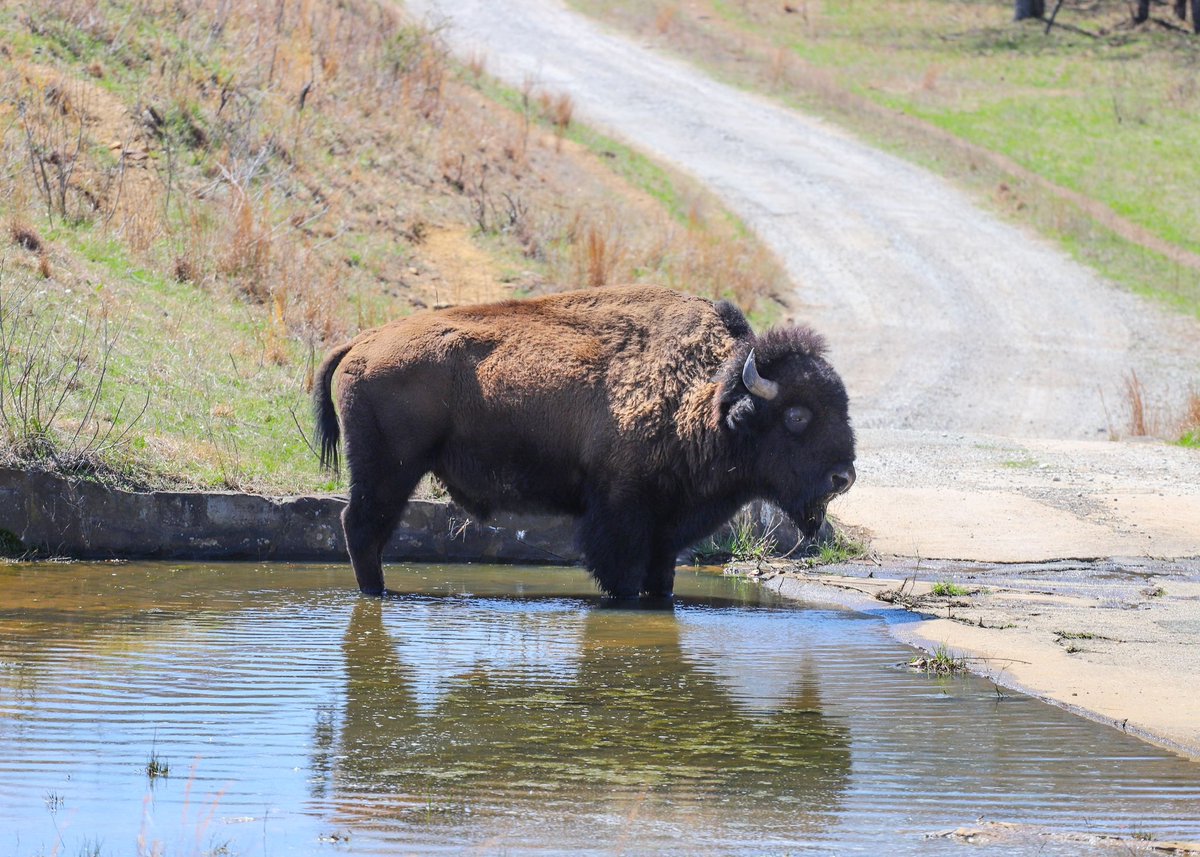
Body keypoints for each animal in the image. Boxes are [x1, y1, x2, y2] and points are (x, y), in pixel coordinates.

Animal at [314, 285, 855, 598]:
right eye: (798, 416)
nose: (843, 477)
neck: (709, 390)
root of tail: (363, 342)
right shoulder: (621, 516)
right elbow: (622, 575)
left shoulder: (666, 528)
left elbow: (661, 579)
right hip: (389, 470)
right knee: (361, 527)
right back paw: (377, 595)